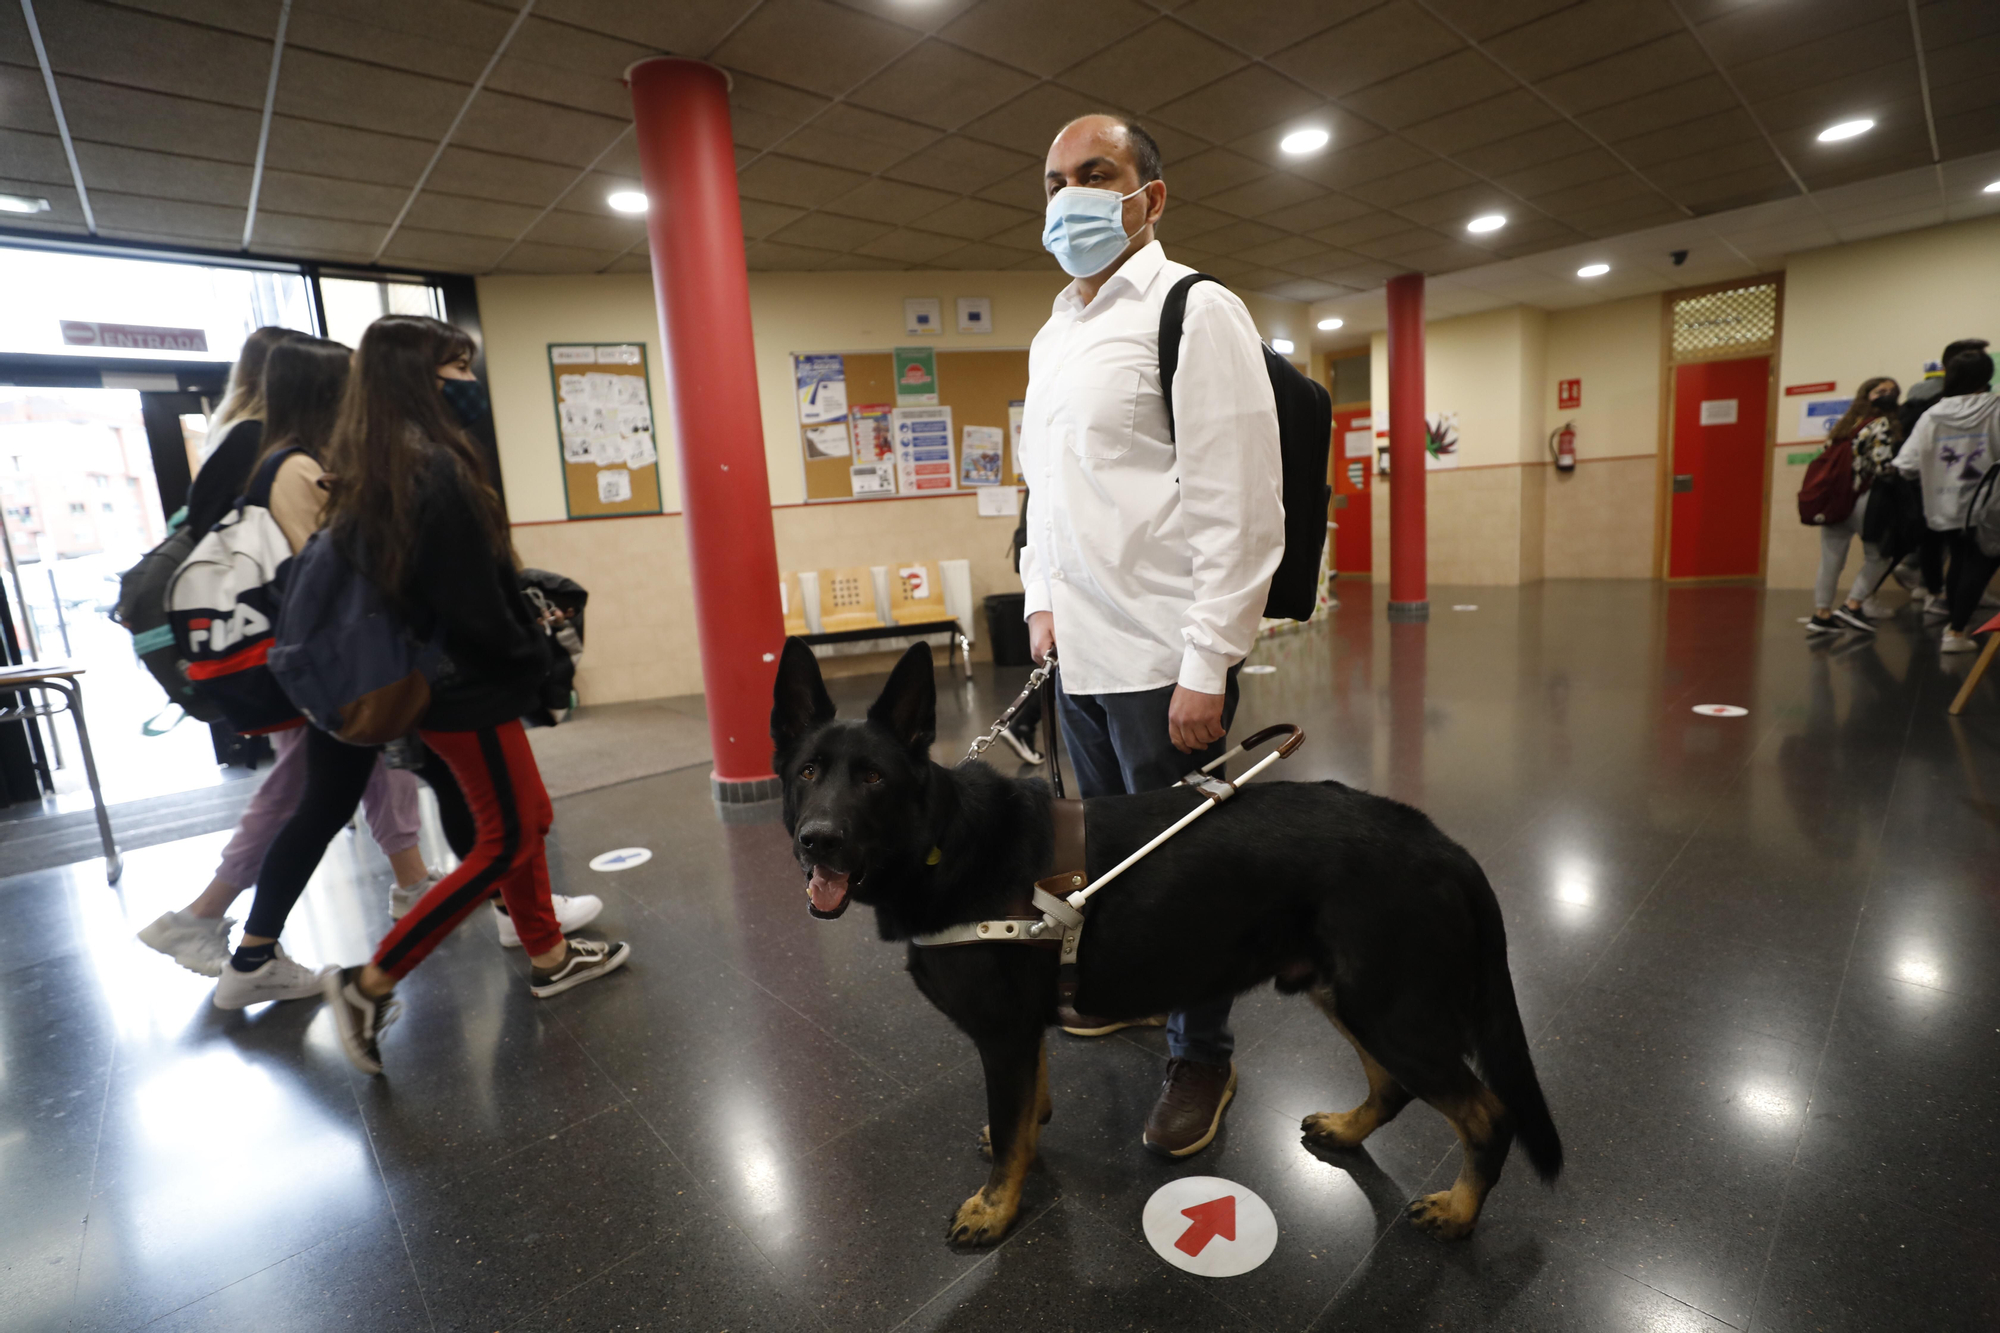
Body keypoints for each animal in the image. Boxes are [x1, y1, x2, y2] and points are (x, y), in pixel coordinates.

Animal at [772, 640, 1552, 1240]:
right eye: (808, 772)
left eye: (873, 778)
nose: (818, 841)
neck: (940, 840)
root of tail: (1442, 844)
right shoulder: (1021, 1035)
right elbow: (1026, 1114)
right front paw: (1022, 1144)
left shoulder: (1001, 1036)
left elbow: (1010, 1124)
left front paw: (996, 1208)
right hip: (1349, 996)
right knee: (1392, 1087)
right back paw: (1351, 1130)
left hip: (1389, 1011)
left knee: (1488, 1115)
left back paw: (1460, 1211)